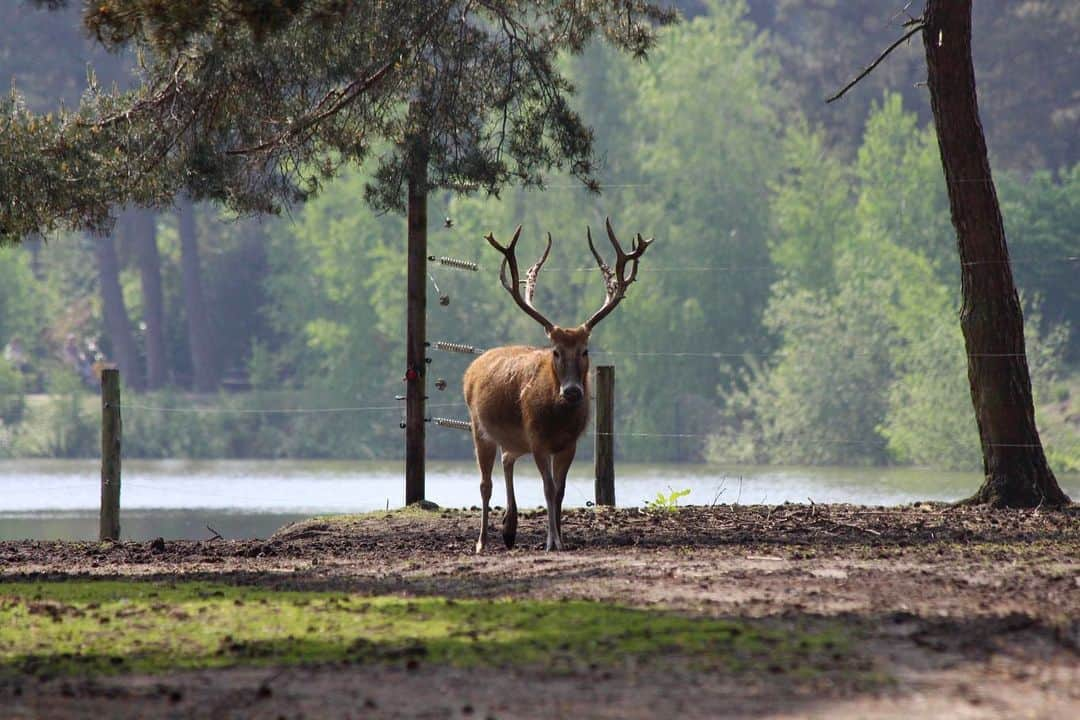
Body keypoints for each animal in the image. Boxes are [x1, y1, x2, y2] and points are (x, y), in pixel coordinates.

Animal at [462, 218, 648, 552]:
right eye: (556, 351)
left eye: (585, 350)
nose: (572, 390)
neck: (557, 419)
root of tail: (472, 369)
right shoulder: (537, 438)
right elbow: (547, 489)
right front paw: (552, 541)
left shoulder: (569, 443)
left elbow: (560, 491)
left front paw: (561, 538)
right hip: (478, 427)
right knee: (485, 483)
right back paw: (482, 542)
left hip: (514, 440)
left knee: (507, 459)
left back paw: (509, 529)